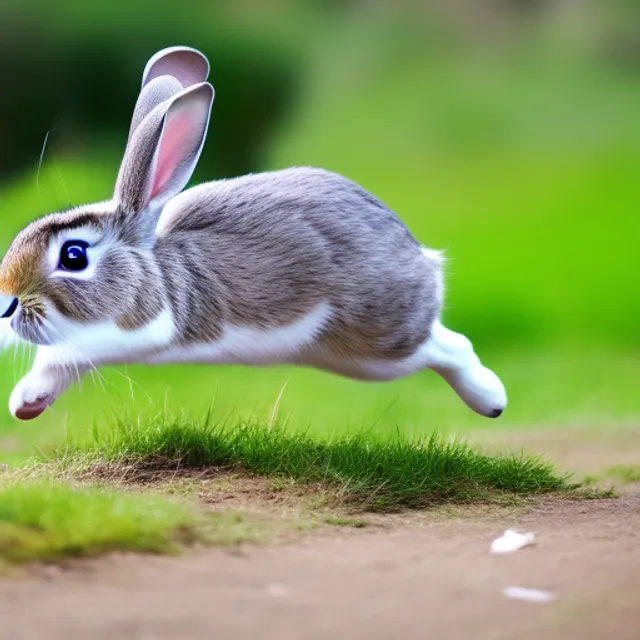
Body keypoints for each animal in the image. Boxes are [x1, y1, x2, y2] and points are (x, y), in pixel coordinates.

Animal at [0, 47, 508, 422]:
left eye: (73, 256)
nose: (5, 304)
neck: (155, 268)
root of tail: (421, 257)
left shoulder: (138, 329)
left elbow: (65, 354)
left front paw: (23, 395)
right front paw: (27, 404)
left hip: (381, 347)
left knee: (451, 345)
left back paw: (492, 400)